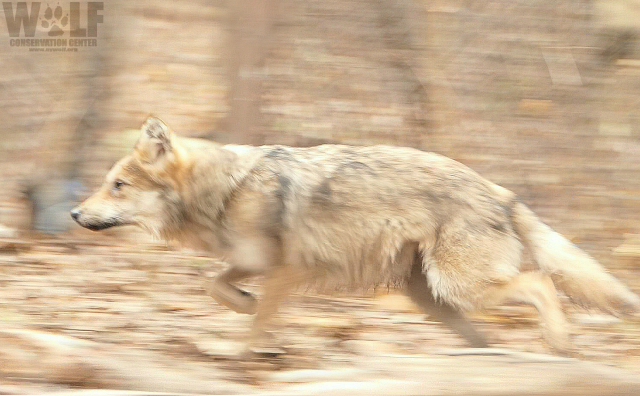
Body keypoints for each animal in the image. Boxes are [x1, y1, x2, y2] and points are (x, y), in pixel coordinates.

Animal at [71, 117, 640, 352]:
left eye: (117, 185)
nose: (75, 213)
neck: (229, 189)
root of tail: (497, 188)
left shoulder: (290, 269)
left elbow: (253, 322)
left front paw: (245, 353)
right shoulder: (255, 263)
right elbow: (214, 285)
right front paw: (245, 307)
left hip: (460, 288)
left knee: (541, 282)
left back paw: (560, 345)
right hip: (434, 299)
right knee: (489, 337)